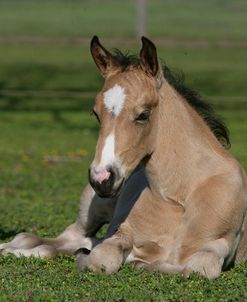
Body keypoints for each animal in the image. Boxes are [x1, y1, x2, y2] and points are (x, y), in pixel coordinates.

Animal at [0, 36, 247, 280]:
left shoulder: (221, 245)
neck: (179, 195)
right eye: (95, 113)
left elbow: (198, 269)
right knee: (57, 237)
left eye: (143, 114)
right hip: (92, 209)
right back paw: (14, 249)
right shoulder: (122, 233)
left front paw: (143, 263)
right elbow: (102, 259)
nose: (102, 178)